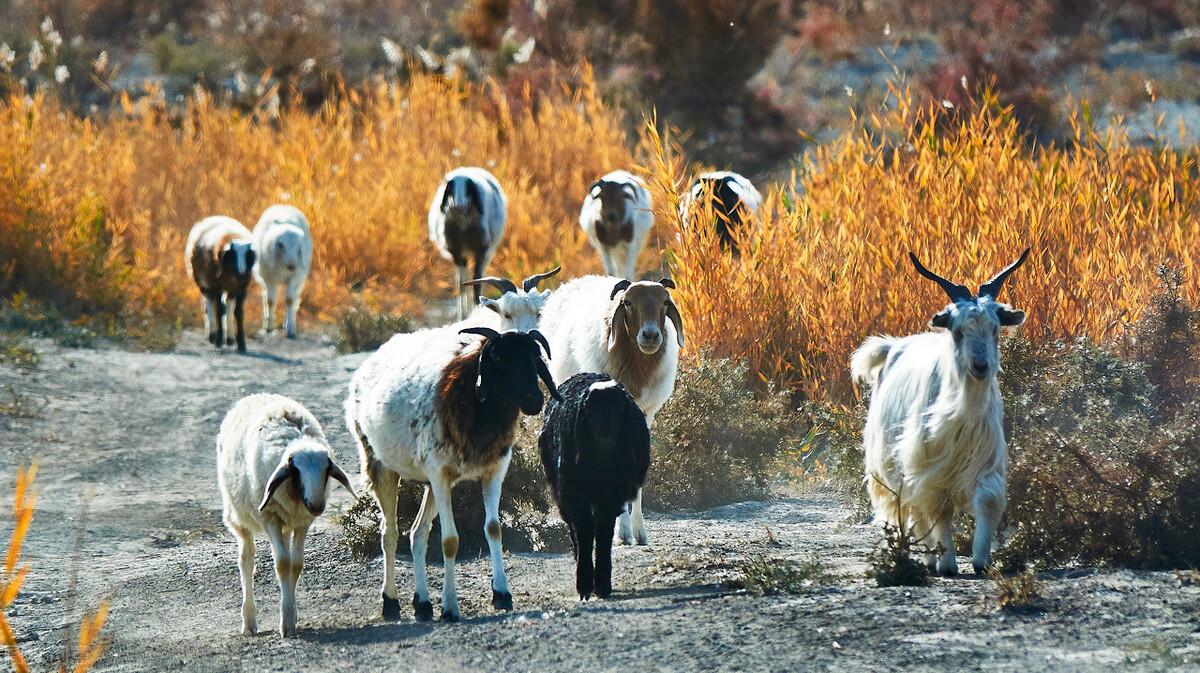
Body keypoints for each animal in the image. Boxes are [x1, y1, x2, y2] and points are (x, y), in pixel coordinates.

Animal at [217, 391, 355, 638]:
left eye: (326, 470)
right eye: (296, 470)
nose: (317, 505)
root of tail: (256, 394)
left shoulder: (303, 522)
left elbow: (296, 564)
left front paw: (291, 614)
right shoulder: (270, 517)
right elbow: (282, 563)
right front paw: (286, 624)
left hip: (288, 523)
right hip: (239, 516)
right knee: (246, 560)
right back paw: (249, 621)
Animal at [343, 323, 556, 623]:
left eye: (534, 357)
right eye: (499, 358)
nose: (534, 400)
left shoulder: (494, 470)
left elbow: (494, 529)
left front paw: (502, 594)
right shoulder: (440, 475)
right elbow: (450, 541)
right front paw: (450, 607)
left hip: (430, 485)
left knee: (418, 533)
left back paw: (422, 603)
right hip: (381, 465)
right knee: (390, 534)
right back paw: (391, 602)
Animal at [537, 371, 648, 597]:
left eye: (618, 409)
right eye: (590, 410)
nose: (605, 435)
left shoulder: (612, 494)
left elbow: (604, 531)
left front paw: (603, 583)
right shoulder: (575, 492)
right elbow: (585, 529)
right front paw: (585, 583)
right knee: (576, 527)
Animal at [849, 249, 1027, 575]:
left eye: (995, 328)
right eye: (957, 331)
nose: (980, 366)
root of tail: (892, 348)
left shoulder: (987, 459)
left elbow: (987, 501)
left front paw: (982, 559)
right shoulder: (929, 463)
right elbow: (939, 508)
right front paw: (946, 562)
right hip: (893, 464)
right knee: (911, 509)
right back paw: (928, 558)